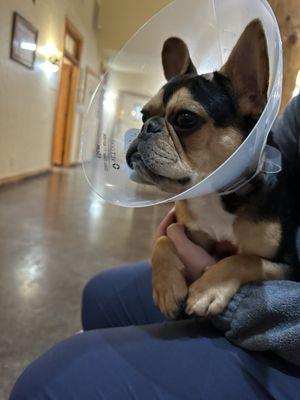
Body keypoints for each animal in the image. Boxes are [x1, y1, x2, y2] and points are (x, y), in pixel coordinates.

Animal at [125, 19, 298, 318]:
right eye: (144, 114)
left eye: (185, 118)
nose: (148, 126)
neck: (215, 195)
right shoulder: (188, 232)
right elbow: (163, 240)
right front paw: (167, 286)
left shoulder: (286, 264)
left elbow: (246, 259)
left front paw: (209, 289)